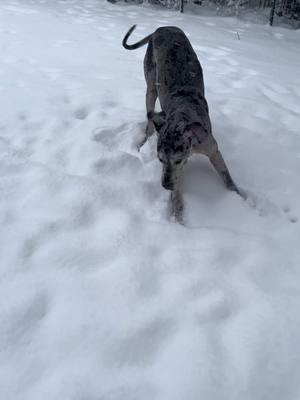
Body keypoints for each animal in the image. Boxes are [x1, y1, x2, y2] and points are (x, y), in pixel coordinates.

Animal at [123, 25, 243, 222]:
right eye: (160, 159)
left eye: (178, 159)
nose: (165, 185)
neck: (182, 114)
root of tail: (159, 28)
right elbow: (176, 194)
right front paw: (177, 216)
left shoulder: (211, 149)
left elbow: (228, 179)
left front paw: (244, 200)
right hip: (151, 86)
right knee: (149, 122)